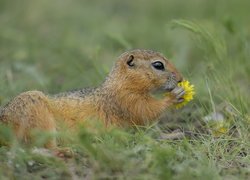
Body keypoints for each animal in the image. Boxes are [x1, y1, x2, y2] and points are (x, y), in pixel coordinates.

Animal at [0, 49, 184, 148]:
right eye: (158, 65)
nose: (181, 79)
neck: (118, 84)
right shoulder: (126, 100)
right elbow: (147, 111)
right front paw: (174, 96)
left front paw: (172, 134)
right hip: (36, 115)